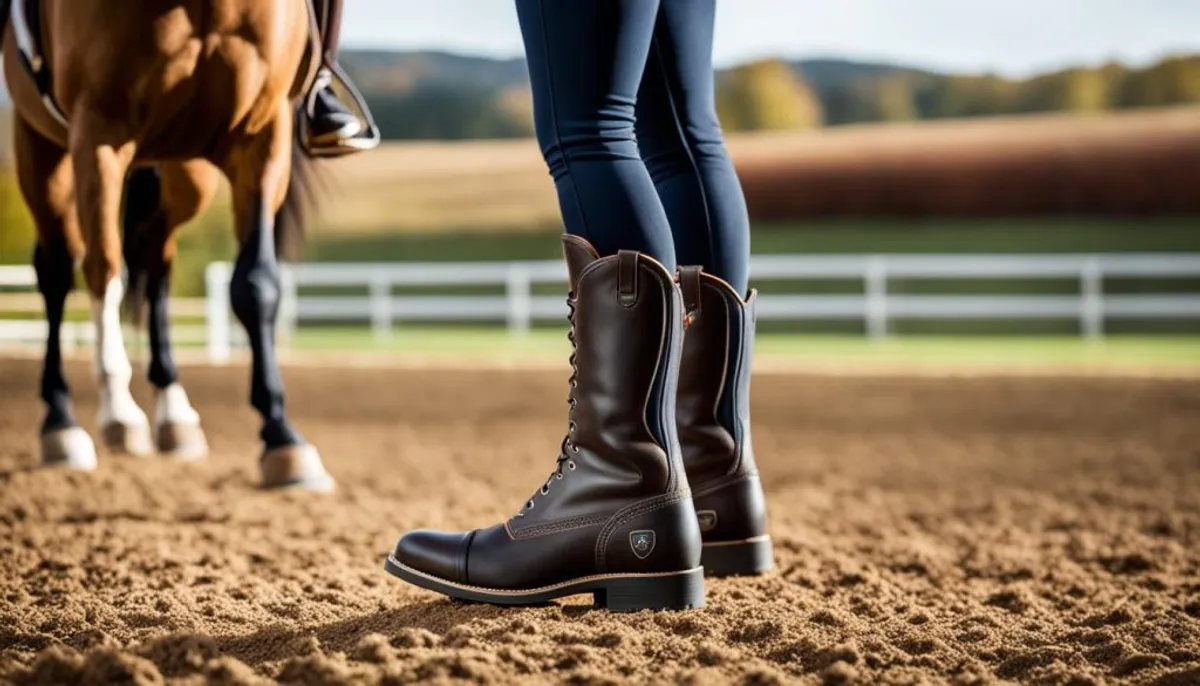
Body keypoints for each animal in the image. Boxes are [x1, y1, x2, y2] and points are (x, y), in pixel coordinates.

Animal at [3, 2, 338, 489]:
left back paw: (174, 413)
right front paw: (118, 413)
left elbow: (256, 285)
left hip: (186, 172)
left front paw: (282, 437)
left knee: (155, 261)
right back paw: (61, 422)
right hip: (40, 145)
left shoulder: (261, 134)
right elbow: (104, 269)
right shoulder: (98, 133)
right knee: (59, 269)